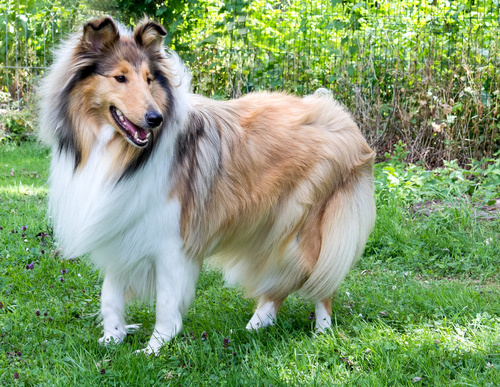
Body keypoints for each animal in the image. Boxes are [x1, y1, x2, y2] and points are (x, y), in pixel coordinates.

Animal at [39, 19, 376, 358]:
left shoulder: (171, 242)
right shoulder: (120, 226)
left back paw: (322, 331)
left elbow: (165, 304)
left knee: (320, 280)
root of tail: (336, 112)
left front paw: (155, 348)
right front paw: (112, 337)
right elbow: (110, 294)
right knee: (279, 280)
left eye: (149, 79)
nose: (154, 118)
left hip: (307, 230)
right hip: (273, 225)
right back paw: (256, 325)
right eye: (120, 78)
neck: (120, 155)